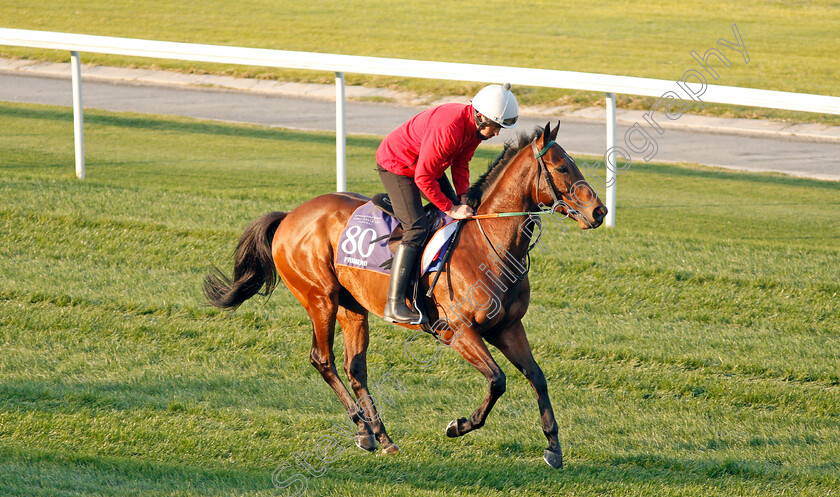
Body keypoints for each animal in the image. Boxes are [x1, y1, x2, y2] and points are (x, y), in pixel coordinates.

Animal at [207, 122, 608, 466]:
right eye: (561, 167)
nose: (599, 211)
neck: (488, 245)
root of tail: (289, 216)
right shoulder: (456, 331)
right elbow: (498, 380)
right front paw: (458, 426)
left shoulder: (508, 328)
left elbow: (537, 377)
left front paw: (553, 447)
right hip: (320, 298)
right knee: (323, 360)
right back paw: (363, 429)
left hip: (353, 307)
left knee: (356, 368)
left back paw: (381, 436)